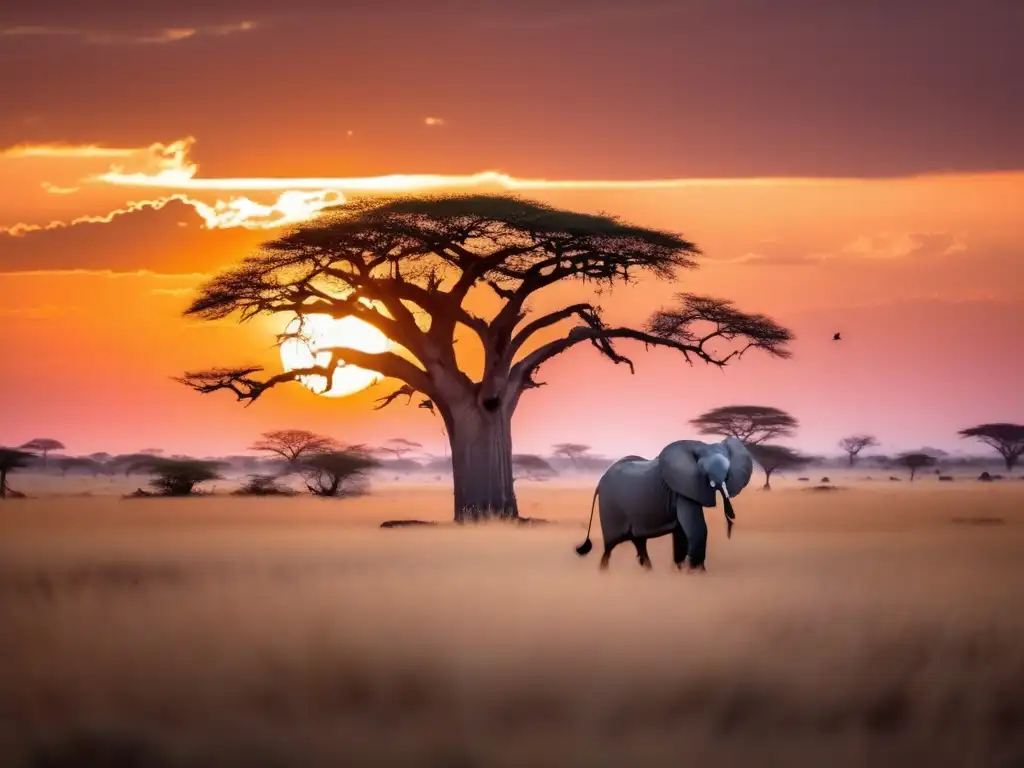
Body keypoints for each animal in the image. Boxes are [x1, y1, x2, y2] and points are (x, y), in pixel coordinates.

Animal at [577, 438, 753, 573]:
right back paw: (604, 573)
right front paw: (695, 574)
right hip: (610, 507)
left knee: (639, 543)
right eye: (703, 469)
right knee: (610, 546)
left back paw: (648, 572)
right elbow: (696, 529)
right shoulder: (682, 488)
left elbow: (682, 533)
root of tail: (599, 483)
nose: (731, 519)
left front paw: (681, 572)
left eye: (729, 469)